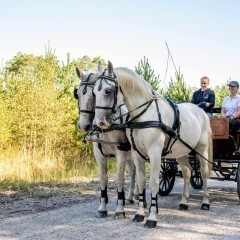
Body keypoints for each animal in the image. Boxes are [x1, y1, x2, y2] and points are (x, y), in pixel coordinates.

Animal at [75, 62, 142, 219]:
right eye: (78, 94)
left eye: (93, 94)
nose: (83, 125)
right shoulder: (99, 154)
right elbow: (103, 179)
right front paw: (102, 207)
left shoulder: (121, 151)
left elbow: (119, 179)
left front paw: (119, 209)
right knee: (133, 171)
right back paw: (131, 196)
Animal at [93, 61, 213, 228]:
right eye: (93, 92)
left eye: (108, 91)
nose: (99, 123)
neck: (144, 115)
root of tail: (199, 110)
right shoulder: (137, 154)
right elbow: (142, 181)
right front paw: (139, 214)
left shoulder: (155, 153)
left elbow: (154, 183)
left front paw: (152, 217)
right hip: (181, 151)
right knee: (188, 172)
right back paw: (184, 202)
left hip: (201, 149)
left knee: (204, 173)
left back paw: (206, 202)